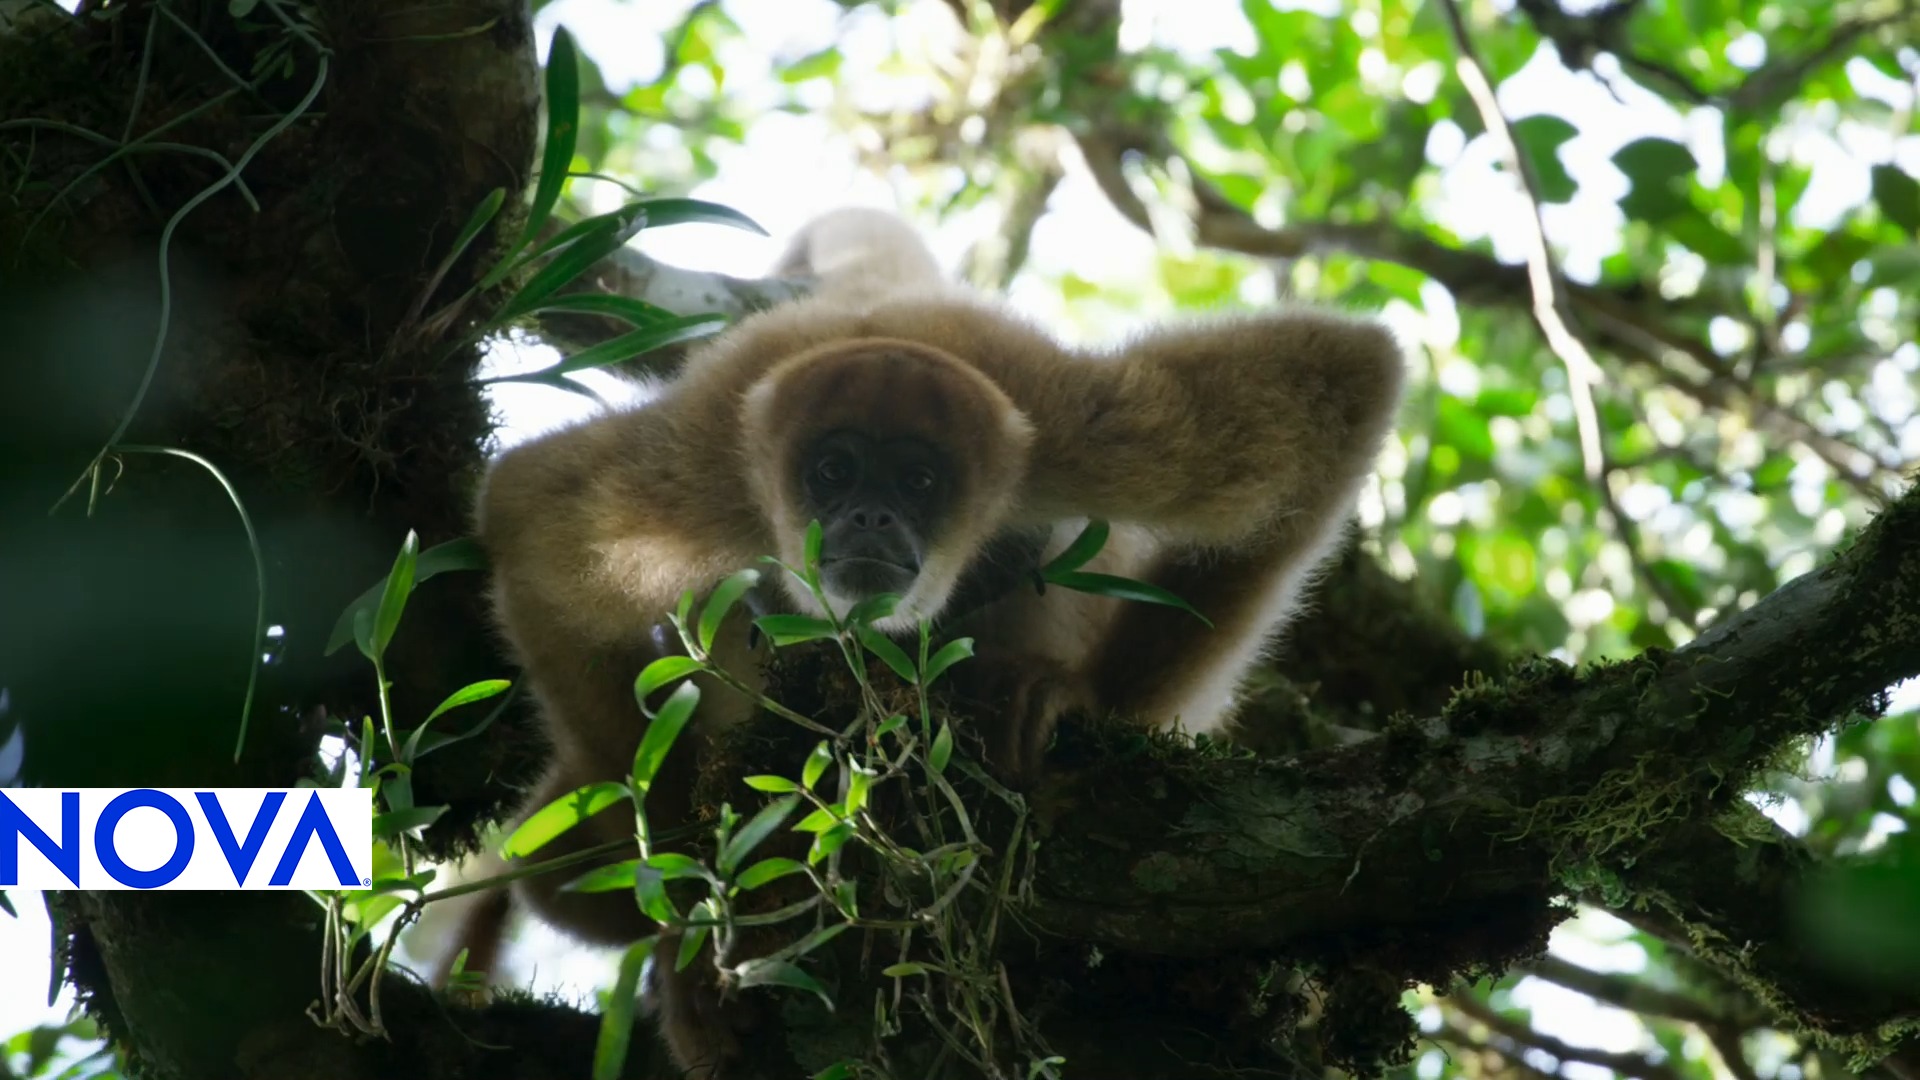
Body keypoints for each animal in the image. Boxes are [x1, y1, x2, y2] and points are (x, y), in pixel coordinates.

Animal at [440, 205, 1406, 1078]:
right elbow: (526, 513)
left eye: (918, 480)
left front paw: (1071, 699)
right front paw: (692, 926)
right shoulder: (703, 470)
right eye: (833, 471)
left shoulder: (1075, 429)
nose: (870, 516)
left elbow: (1344, 376)